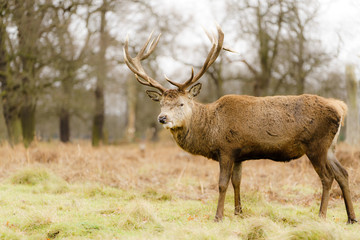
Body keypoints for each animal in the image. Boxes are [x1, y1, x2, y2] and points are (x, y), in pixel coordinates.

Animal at [123, 25, 358, 224]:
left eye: (181, 103)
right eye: (161, 103)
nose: (162, 118)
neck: (210, 128)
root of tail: (340, 107)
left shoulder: (226, 149)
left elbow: (222, 184)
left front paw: (218, 216)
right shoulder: (239, 154)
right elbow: (237, 181)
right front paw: (238, 212)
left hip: (316, 144)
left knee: (327, 177)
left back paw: (321, 215)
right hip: (330, 147)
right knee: (343, 173)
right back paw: (351, 218)